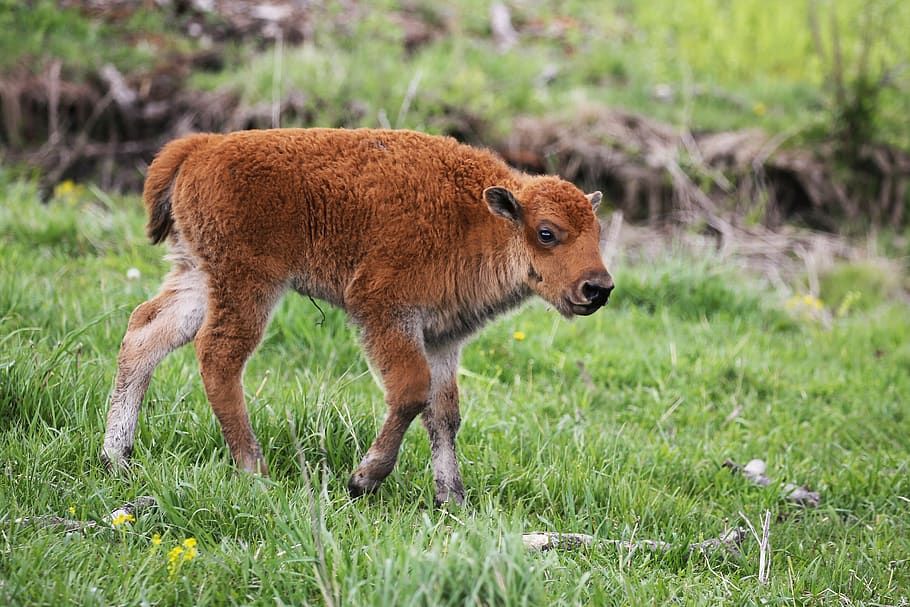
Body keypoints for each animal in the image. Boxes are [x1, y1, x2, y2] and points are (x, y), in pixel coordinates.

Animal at [103, 129, 612, 508]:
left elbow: (444, 415)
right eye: (546, 233)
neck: (479, 217)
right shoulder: (385, 312)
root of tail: (201, 147)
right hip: (247, 284)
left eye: (598, 232)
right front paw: (362, 480)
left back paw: (116, 457)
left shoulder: (442, 339)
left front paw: (453, 500)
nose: (598, 288)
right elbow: (410, 391)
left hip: (199, 276)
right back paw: (253, 469)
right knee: (219, 356)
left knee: (145, 334)